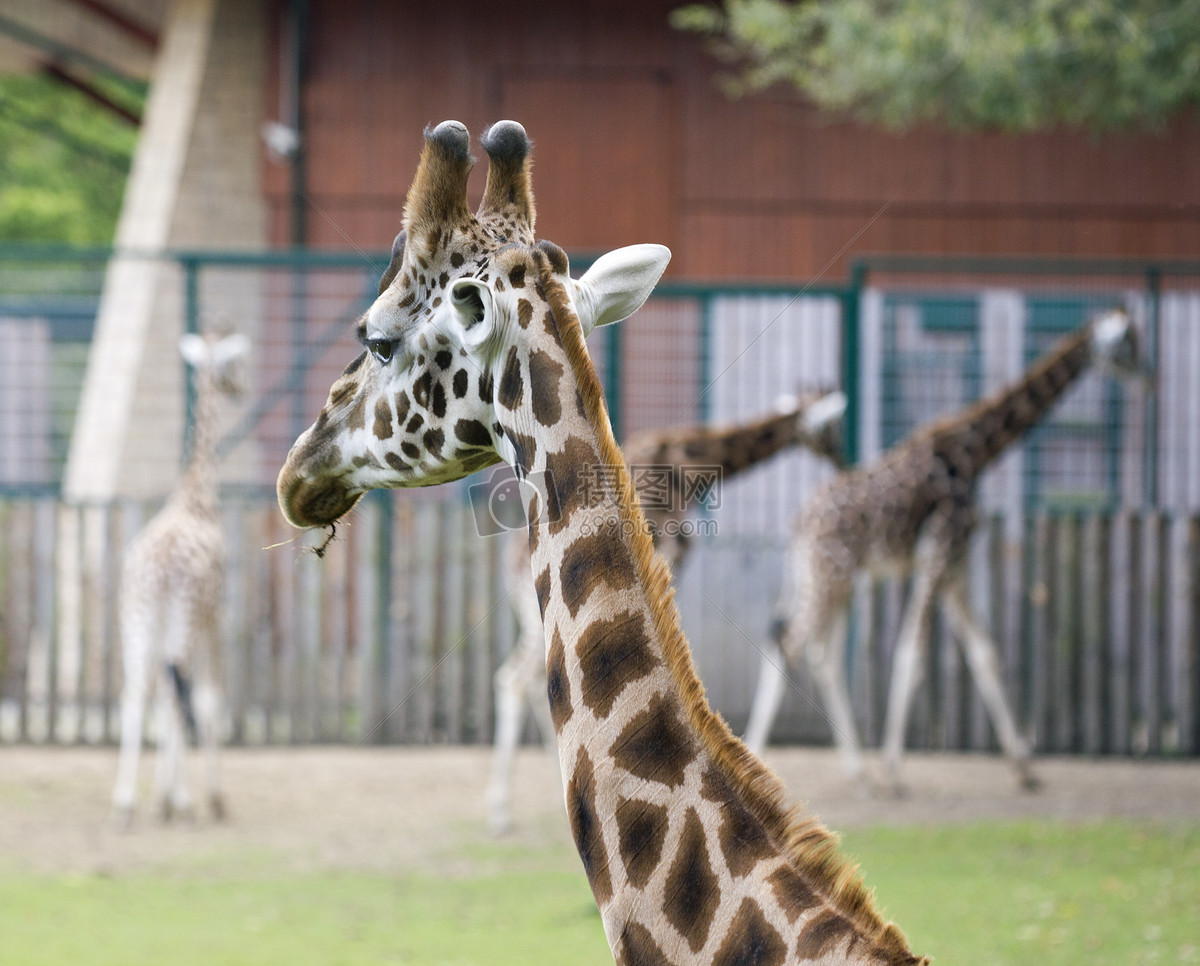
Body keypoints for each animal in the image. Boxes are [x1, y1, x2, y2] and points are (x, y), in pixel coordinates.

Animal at [111, 328, 248, 820]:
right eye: (233, 365)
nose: (241, 389)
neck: (197, 499)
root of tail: (156, 574)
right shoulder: (215, 617)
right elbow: (208, 702)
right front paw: (209, 799)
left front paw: (161, 796)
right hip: (181, 620)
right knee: (174, 694)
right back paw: (182, 803)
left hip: (137, 620)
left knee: (136, 694)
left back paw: (125, 804)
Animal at [482, 391, 849, 830]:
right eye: (832, 427)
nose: (843, 459)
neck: (691, 465)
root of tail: (512, 565)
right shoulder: (668, 557)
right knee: (515, 679)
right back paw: (500, 810)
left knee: (535, 679)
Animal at [744, 309, 1147, 792]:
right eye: (1126, 344)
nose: (1149, 375)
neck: (976, 452)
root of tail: (798, 526)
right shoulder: (938, 553)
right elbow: (912, 656)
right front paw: (894, 770)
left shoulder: (956, 565)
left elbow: (985, 654)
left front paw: (1026, 769)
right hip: (830, 576)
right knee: (790, 644)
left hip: (827, 581)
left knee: (819, 652)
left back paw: (854, 770)